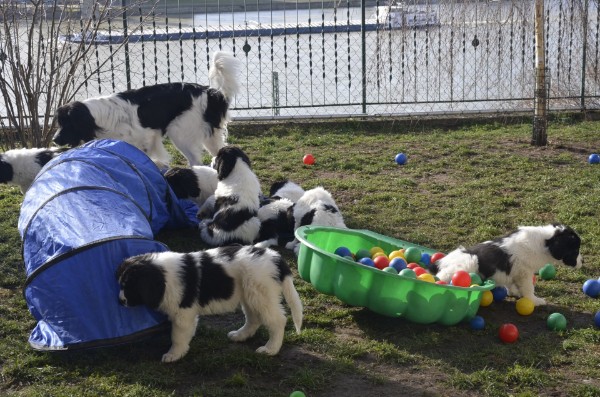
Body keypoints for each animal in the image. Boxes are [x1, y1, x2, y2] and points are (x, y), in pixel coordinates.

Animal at [51, 50, 239, 167]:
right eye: (59, 123)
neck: (97, 118)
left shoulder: (145, 138)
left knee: (196, 161)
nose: (54, 140)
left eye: (67, 124)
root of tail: (210, 92)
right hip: (209, 137)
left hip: (179, 132)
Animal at [116, 243, 304, 360]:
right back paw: (240, 335)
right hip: (249, 294)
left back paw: (270, 349)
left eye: (129, 286)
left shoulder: (183, 314)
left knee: (277, 321)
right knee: (254, 318)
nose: (120, 301)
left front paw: (174, 355)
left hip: (261, 293)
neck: (163, 276)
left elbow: (177, 336)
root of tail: (276, 258)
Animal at [428, 223, 584, 306]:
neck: (545, 242)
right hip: (469, 262)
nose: (583, 262)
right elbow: (529, 288)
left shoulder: (514, 272)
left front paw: (514, 292)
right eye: (575, 250)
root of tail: (440, 262)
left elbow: (512, 283)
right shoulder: (525, 273)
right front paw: (535, 300)